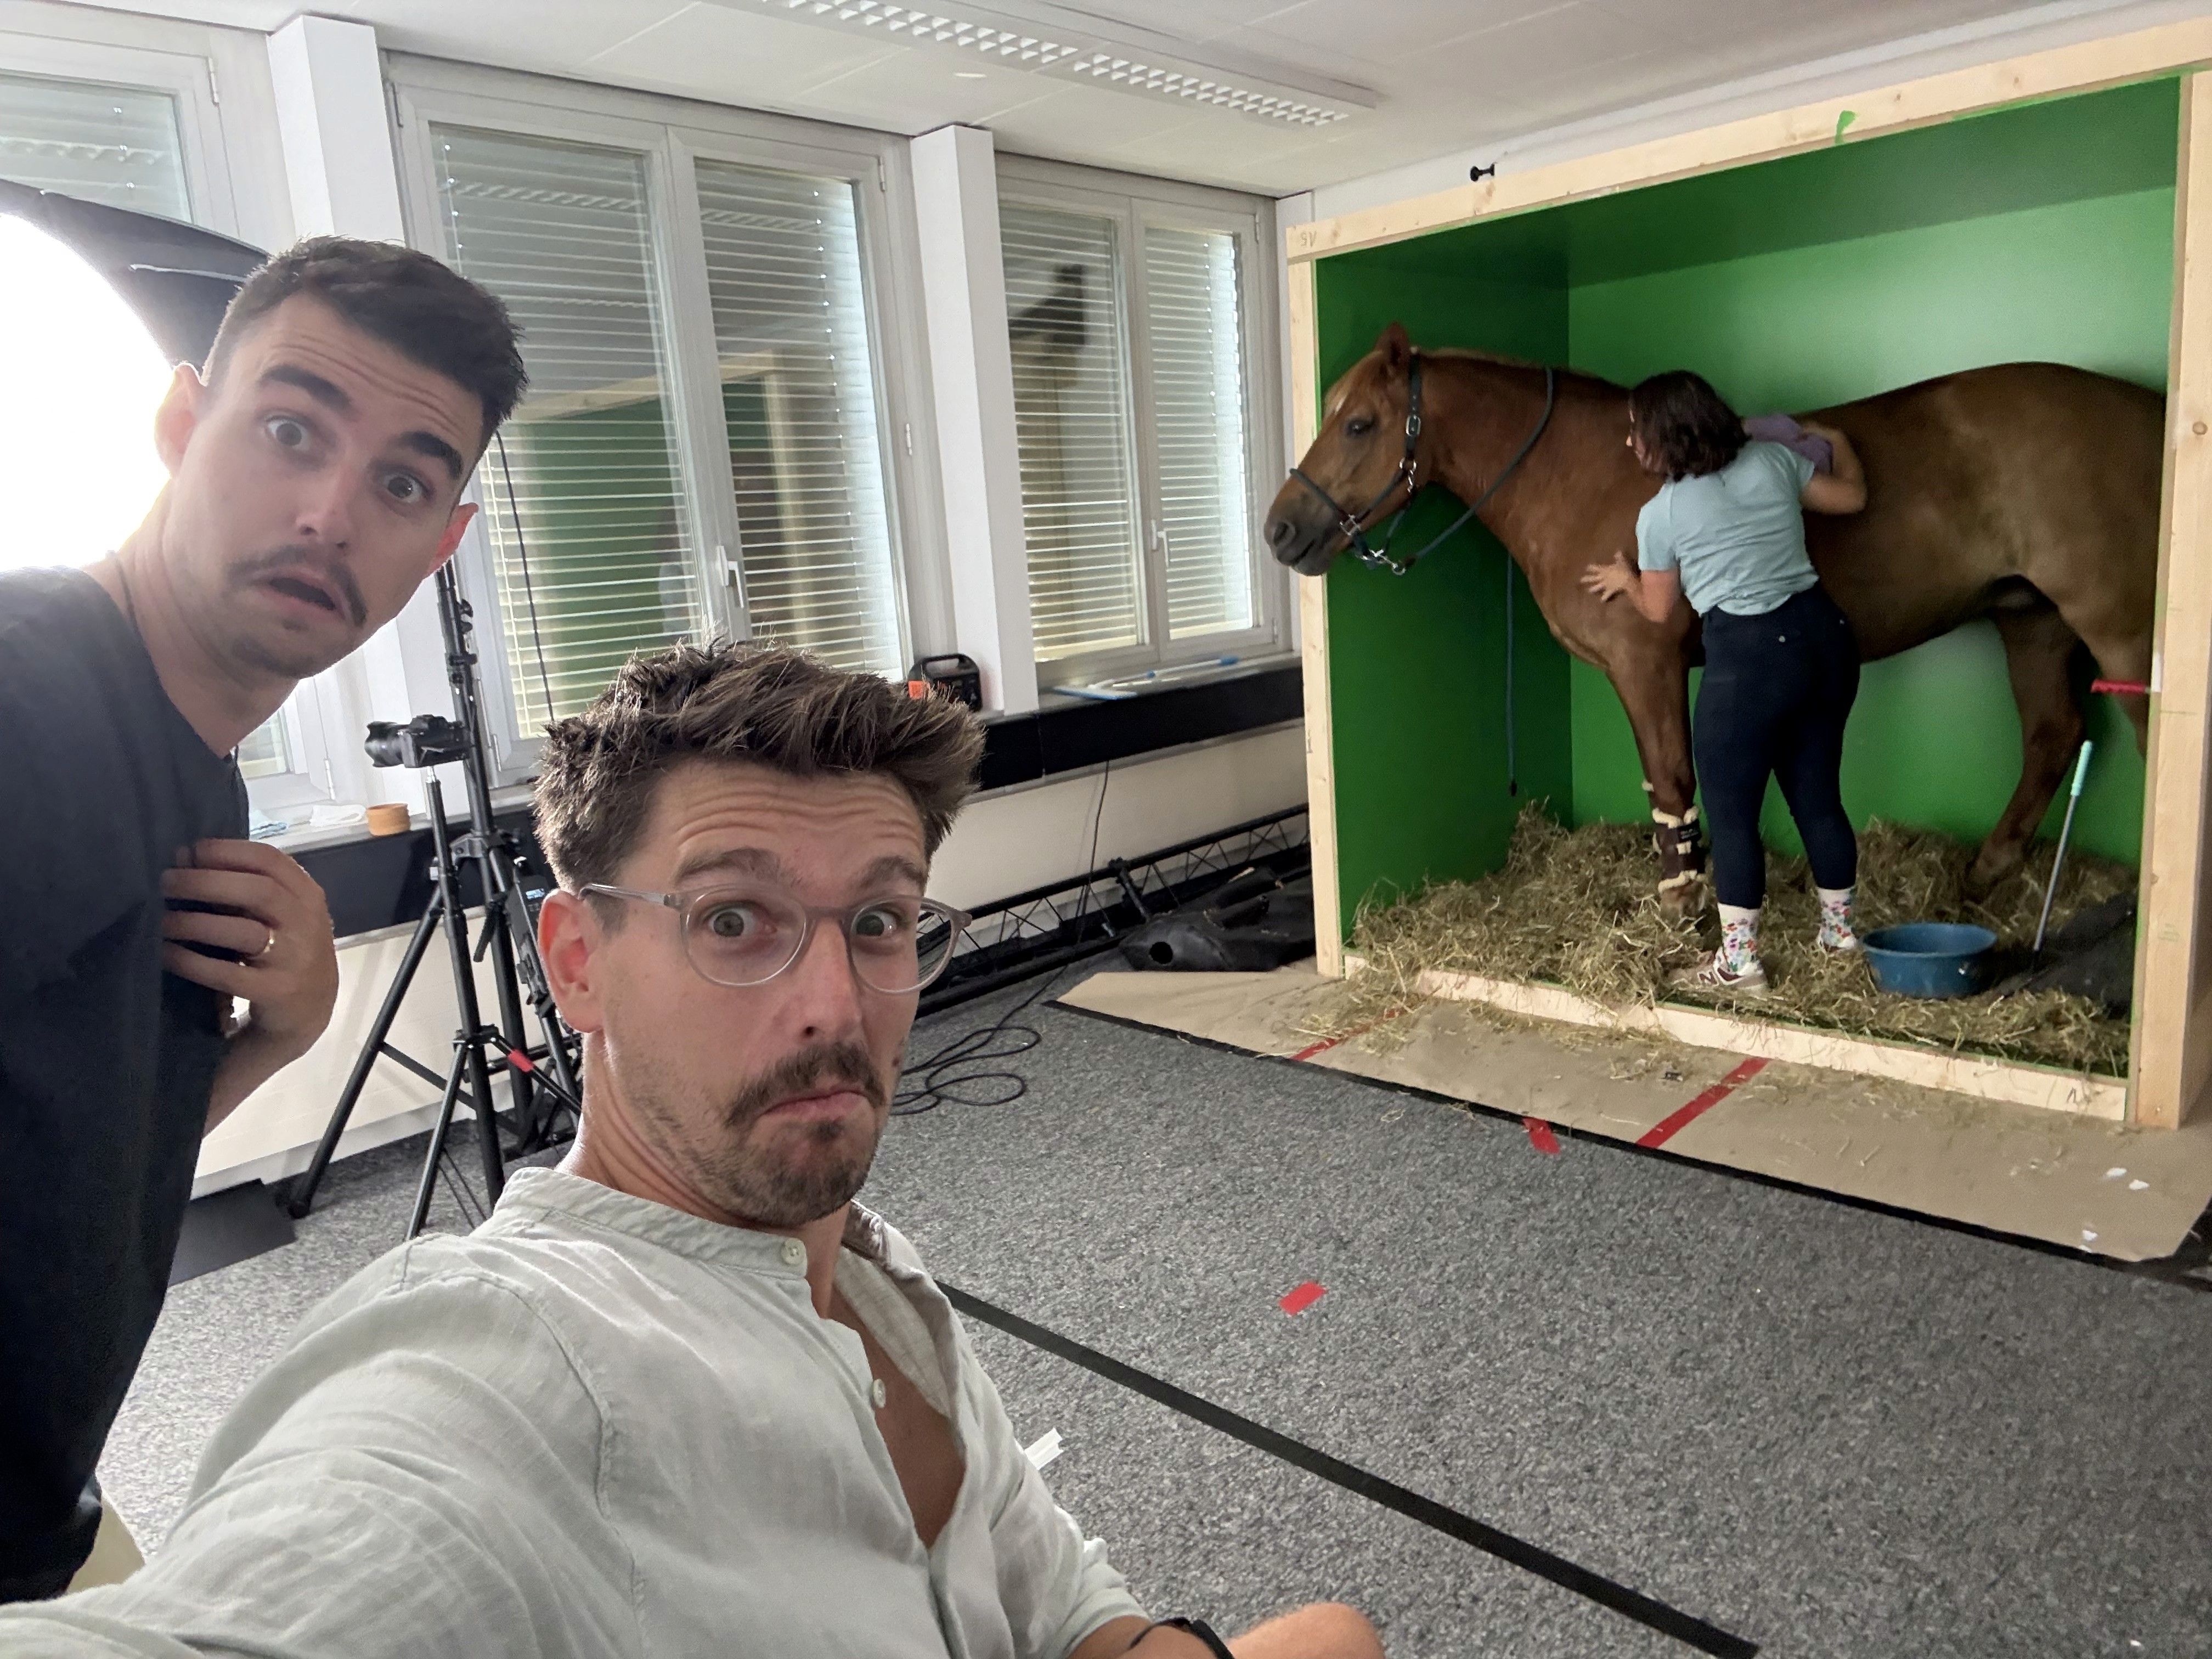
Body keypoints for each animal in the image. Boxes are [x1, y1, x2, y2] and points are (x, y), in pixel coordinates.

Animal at [1265, 323, 2160, 912]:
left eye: (1359, 423)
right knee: (2051, 737)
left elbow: (1672, 779)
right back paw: (1985, 874)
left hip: (2121, 631)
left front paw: (1681, 904)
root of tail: (2149, 403)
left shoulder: (1647, 663)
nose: (1280, 531)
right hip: (2031, 621)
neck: (1580, 474)